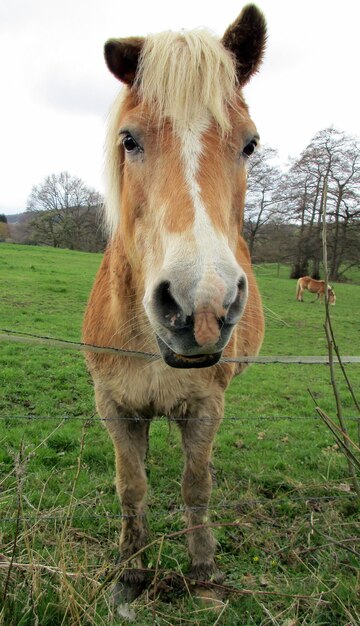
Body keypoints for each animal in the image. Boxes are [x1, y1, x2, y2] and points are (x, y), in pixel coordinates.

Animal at [83, 2, 266, 604]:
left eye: (250, 144)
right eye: (130, 140)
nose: (201, 309)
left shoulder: (205, 408)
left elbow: (196, 487)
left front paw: (203, 572)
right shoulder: (115, 408)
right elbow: (131, 486)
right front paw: (131, 572)